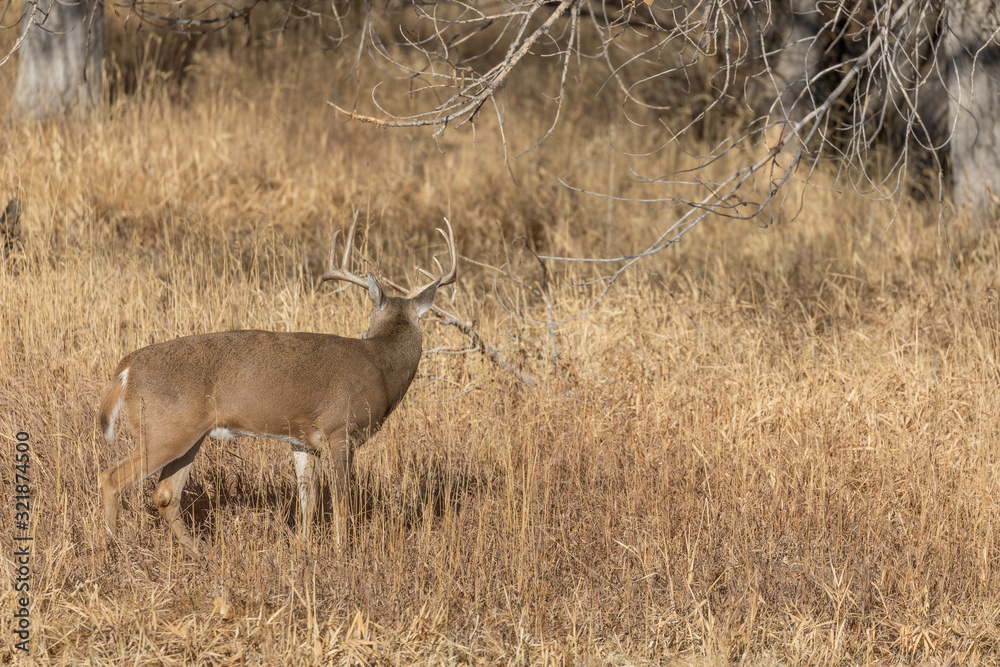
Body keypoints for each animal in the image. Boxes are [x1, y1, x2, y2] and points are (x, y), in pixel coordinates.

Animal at [97, 217, 456, 555]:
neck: (383, 364)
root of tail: (126, 368)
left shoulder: (303, 441)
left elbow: (309, 500)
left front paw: (305, 549)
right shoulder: (340, 431)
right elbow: (342, 502)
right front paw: (342, 553)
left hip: (188, 435)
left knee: (165, 494)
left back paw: (201, 553)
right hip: (164, 430)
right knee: (112, 478)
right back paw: (114, 547)